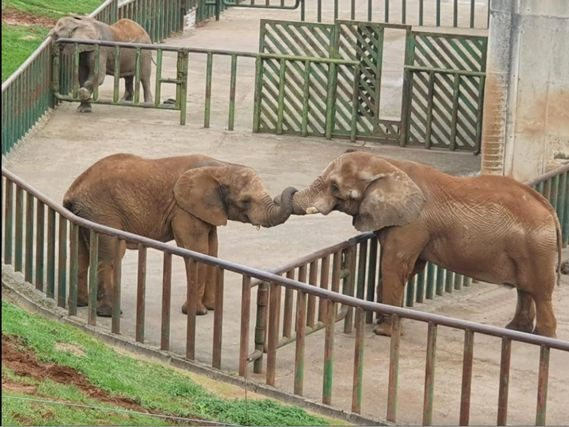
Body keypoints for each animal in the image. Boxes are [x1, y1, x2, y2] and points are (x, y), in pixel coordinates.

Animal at [64, 154, 298, 318]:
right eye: (246, 201)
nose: (292, 191)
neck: (220, 166)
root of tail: (73, 191)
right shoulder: (184, 209)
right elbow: (197, 250)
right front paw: (197, 312)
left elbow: (212, 249)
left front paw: (211, 308)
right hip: (103, 210)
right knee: (112, 252)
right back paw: (108, 313)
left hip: (88, 211)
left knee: (81, 250)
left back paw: (82, 303)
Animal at [286, 150, 560, 338]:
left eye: (334, 187)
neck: (389, 164)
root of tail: (549, 209)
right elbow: (409, 268)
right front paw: (383, 323)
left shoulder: (413, 223)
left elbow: (394, 266)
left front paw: (384, 332)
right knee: (525, 290)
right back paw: (516, 331)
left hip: (536, 248)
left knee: (540, 292)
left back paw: (541, 338)